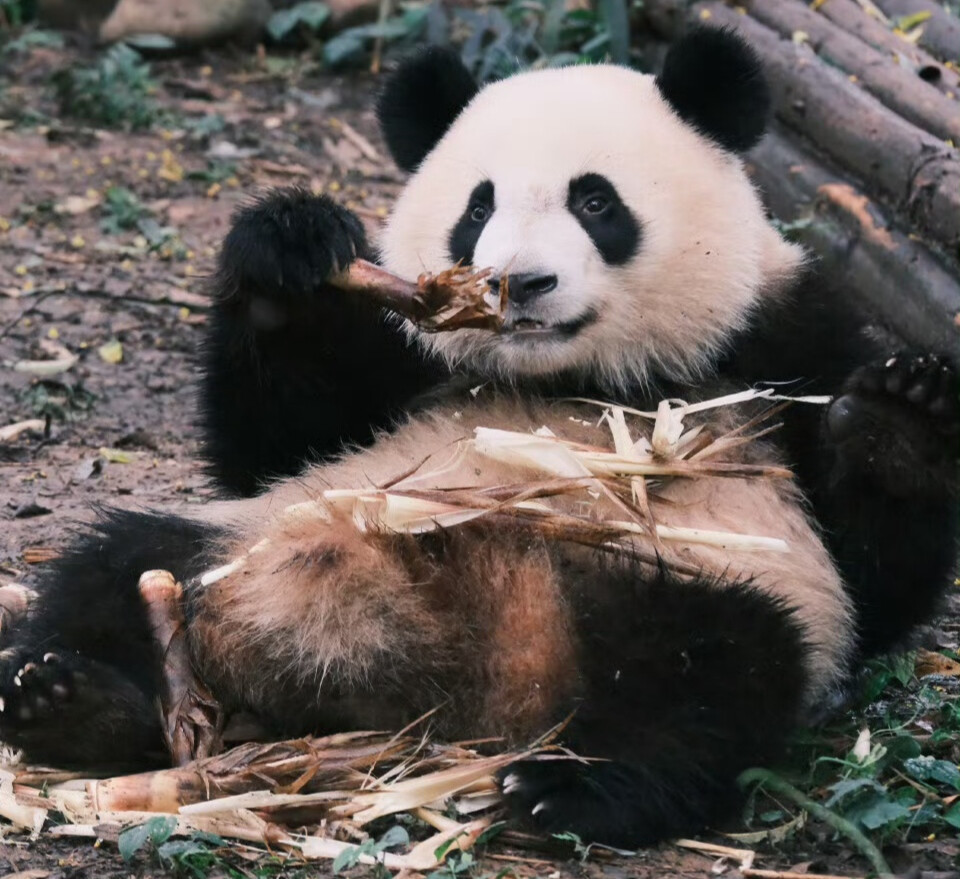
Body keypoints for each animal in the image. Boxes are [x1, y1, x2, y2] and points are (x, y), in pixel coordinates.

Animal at [0, 31, 956, 848]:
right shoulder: (401, 364)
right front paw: (290, 251)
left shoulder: (784, 336)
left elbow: (874, 577)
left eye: (595, 200)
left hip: (676, 576)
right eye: (479, 204)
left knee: (716, 671)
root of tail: (480, 686)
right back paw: (70, 701)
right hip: (245, 545)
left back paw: (575, 784)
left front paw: (899, 415)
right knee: (117, 562)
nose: (518, 284)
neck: (573, 376)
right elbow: (273, 442)